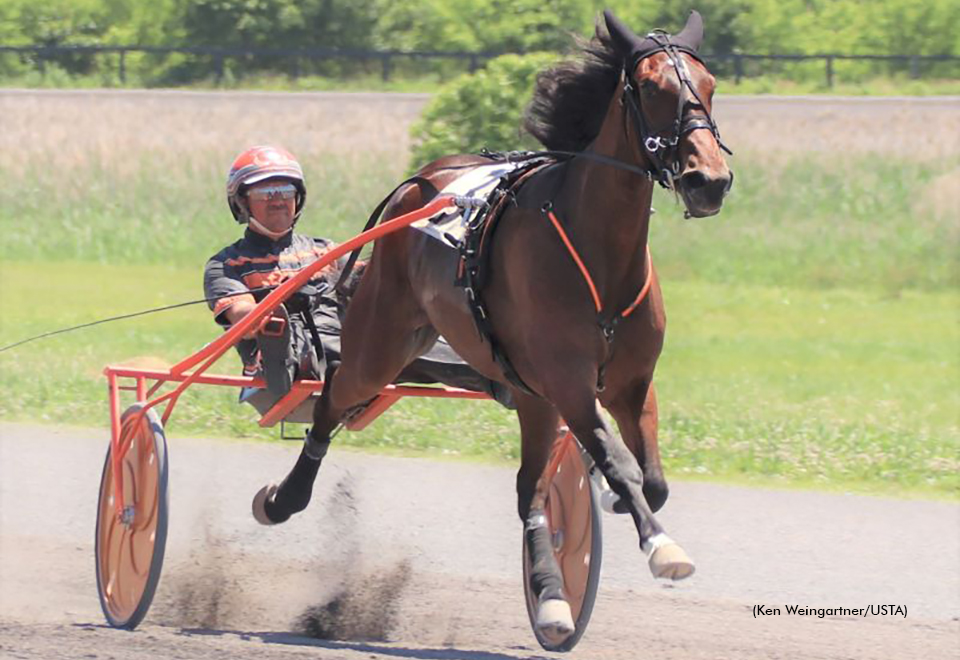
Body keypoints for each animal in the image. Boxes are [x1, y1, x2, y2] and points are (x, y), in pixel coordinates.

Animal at [251, 9, 732, 640]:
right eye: (651, 89)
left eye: (709, 85)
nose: (709, 181)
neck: (596, 251)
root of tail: (421, 181)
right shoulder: (569, 384)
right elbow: (620, 464)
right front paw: (661, 546)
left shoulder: (628, 385)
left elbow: (650, 478)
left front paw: (611, 506)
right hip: (383, 343)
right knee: (333, 399)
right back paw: (283, 499)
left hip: (525, 391)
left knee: (529, 492)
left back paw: (550, 597)